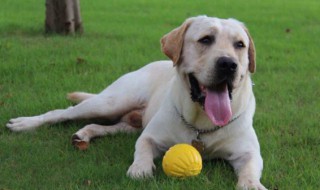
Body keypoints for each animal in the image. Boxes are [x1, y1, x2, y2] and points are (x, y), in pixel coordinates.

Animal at [7, 15, 268, 189]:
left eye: (240, 45)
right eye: (205, 39)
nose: (228, 64)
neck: (200, 124)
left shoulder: (249, 152)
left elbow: (250, 168)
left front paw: (251, 184)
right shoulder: (150, 136)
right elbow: (142, 149)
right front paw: (140, 169)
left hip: (129, 122)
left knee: (101, 126)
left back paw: (83, 135)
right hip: (110, 102)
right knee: (61, 112)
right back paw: (25, 123)